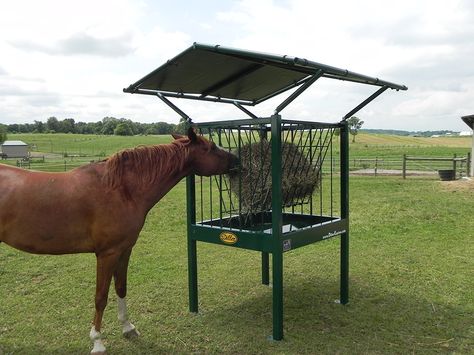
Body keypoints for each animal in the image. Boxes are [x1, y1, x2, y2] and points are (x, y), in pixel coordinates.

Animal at [0, 129, 239, 355]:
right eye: (211, 148)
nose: (238, 160)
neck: (122, 190)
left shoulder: (125, 250)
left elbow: (121, 288)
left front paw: (128, 328)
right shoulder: (107, 254)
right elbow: (101, 297)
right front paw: (97, 342)